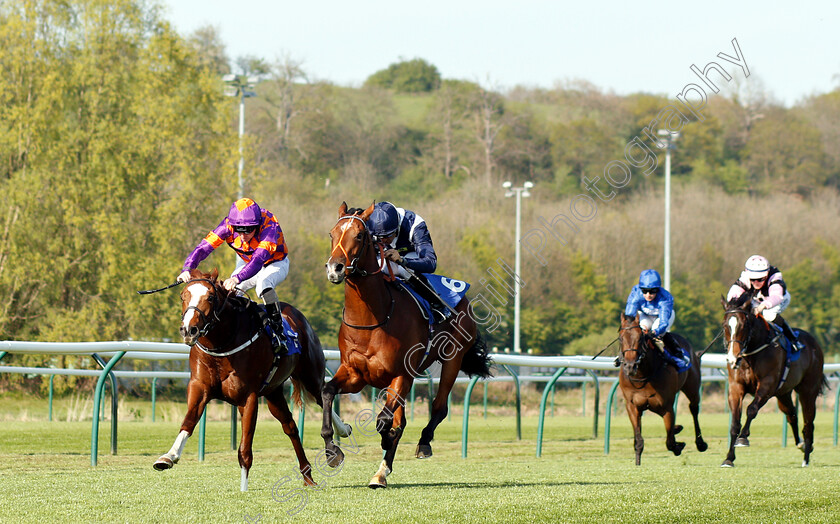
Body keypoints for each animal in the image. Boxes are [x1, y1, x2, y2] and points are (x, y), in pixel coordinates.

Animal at [153, 270, 350, 492]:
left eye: (210, 297)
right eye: (183, 296)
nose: (189, 330)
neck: (223, 344)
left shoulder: (249, 397)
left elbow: (245, 447)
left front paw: (244, 488)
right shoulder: (199, 388)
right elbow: (189, 421)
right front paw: (168, 457)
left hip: (310, 375)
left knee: (322, 394)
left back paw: (342, 433)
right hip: (273, 393)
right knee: (290, 426)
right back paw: (307, 475)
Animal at [322, 203, 492, 490]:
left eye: (359, 235)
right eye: (332, 234)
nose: (335, 268)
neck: (373, 319)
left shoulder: (401, 374)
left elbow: (384, 422)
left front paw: (385, 438)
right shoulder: (355, 375)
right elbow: (327, 392)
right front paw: (332, 451)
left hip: (452, 359)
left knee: (439, 406)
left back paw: (422, 445)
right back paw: (381, 472)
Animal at [616, 314, 708, 464]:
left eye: (640, 338)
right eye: (620, 338)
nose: (630, 366)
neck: (644, 375)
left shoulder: (667, 407)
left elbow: (670, 442)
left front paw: (679, 446)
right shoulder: (633, 406)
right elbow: (639, 441)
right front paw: (637, 463)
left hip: (692, 388)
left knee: (694, 409)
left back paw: (700, 443)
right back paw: (677, 428)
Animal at [720, 296, 832, 468]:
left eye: (743, 325)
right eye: (725, 325)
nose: (733, 358)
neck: (752, 353)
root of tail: (815, 344)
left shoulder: (767, 385)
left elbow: (751, 409)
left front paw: (743, 438)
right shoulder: (736, 387)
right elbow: (734, 423)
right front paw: (729, 458)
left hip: (808, 391)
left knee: (808, 422)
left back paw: (806, 457)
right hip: (783, 393)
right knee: (792, 415)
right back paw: (801, 445)